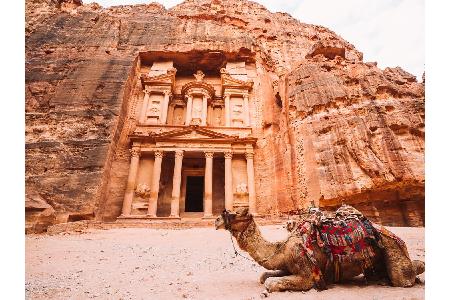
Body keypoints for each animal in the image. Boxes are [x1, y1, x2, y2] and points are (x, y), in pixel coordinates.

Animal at [216, 207, 424, 292]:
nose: (217, 219)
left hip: (394, 249)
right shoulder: (288, 263)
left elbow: (271, 282)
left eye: (237, 213)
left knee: (407, 275)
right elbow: (264, 276)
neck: (282, 248)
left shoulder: (307, 272)